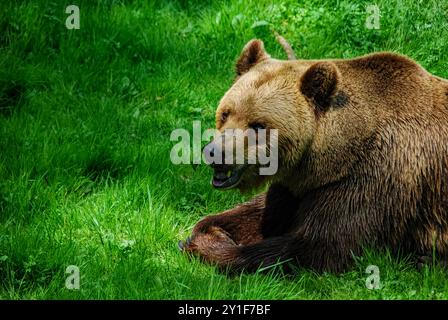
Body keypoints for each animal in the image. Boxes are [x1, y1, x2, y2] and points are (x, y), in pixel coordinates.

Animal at [178, 37, 448, 272]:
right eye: (226, 113)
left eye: (258, 125)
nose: (215, 153)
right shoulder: (298, 186)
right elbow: (257, 214)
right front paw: (208, 230)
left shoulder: (375, 180)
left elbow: (318, 245)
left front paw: (208, 247)